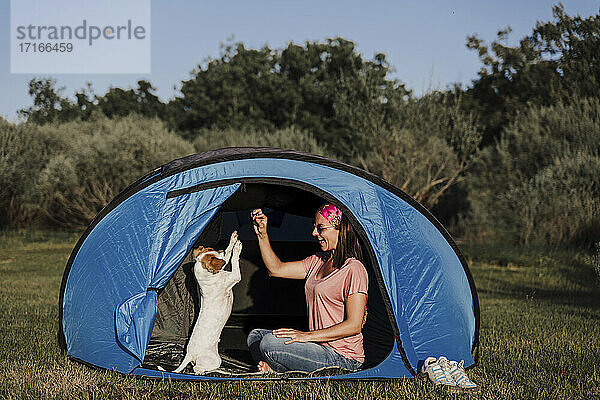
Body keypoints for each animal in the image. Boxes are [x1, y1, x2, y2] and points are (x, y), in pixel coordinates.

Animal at [172, 231, 243, 376]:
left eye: (213, 250)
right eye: (214, 256)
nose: (220, 250)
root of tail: (189, 355)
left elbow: (228, 255)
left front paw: (232, 240)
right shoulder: (235, 276)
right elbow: (233, 259)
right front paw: (237, 247)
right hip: (212, 360)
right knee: (196, 368)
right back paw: (203, 373)